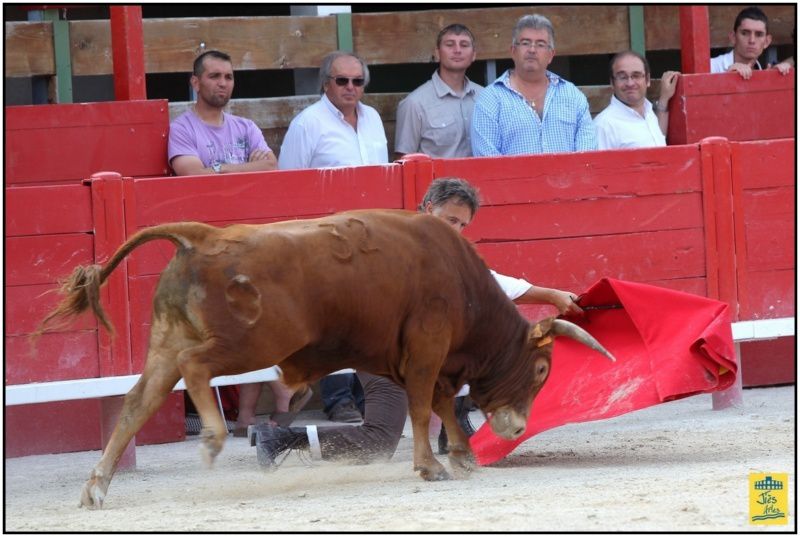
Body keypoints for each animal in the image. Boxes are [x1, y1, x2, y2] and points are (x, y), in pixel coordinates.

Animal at [37, 208, 616, 506]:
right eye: (541, 369)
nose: (518, 427)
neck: (463, 284)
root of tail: (204, 236)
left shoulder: (431, 359)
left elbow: (443, 406)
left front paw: (463, 457)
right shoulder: (427, 349)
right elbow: (424, 408)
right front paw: (432, 467)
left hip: (165, 341)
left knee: (138, 402)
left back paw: (97, 488)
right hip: (254, 342)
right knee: (196, 367)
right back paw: (213, 437)